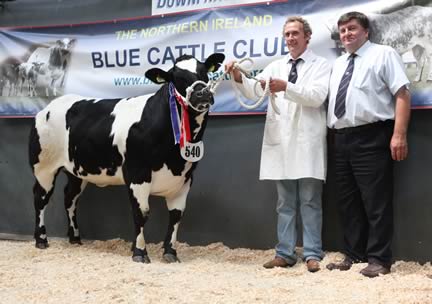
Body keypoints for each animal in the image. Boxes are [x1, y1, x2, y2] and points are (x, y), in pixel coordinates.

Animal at [29, 53, 226, 262]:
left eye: (204, 71)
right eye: (175, 77)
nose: (202, 94)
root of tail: (47, 108)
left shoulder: (185, 178)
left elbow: (176, 216)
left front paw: (170, 253)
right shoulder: (137, 173)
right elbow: (141, 213)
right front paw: (139, 252)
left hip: (75, 171)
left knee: (70, 198)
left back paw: (75, 238)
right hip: (44, 167)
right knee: (40, 198)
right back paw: (41, 240)